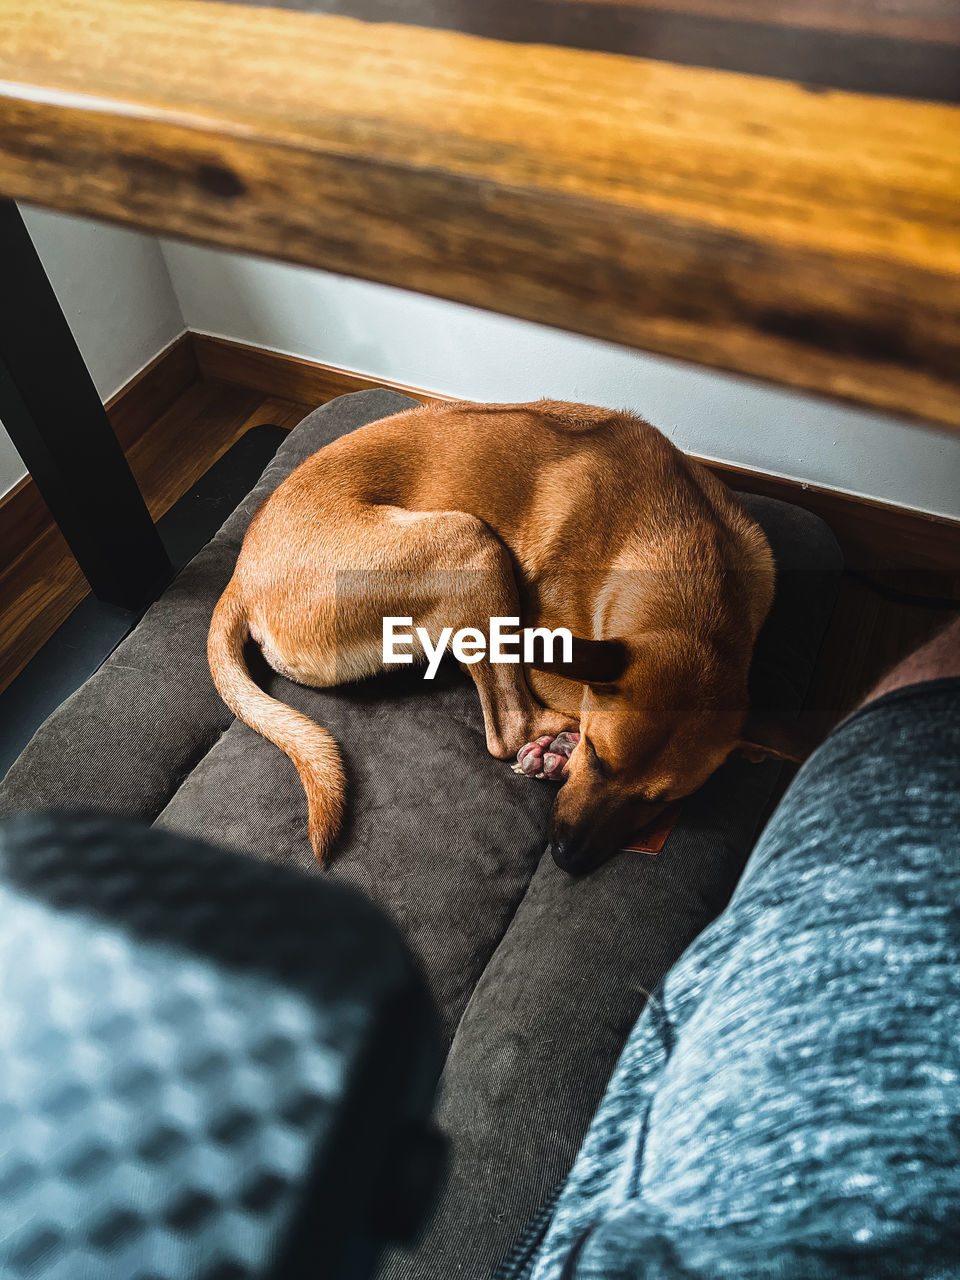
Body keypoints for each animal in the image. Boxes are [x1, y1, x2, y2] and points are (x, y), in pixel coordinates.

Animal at [207, 401, 793, 880]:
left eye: (664, 801)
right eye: (597, 756)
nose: (567, 858)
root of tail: (240, 577)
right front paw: (565, 751)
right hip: (471, 543)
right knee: (510, 729)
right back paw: (549, 749)